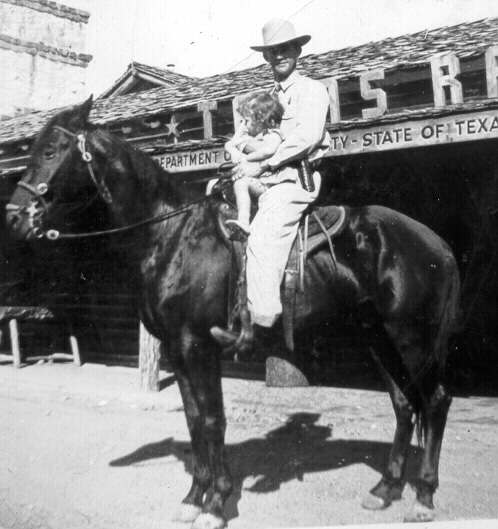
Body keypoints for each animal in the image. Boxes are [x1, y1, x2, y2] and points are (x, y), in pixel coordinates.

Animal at [5, 98, 462, 524]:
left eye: (51, 151)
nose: (14, 218)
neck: (171, 235)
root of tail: (436, 241)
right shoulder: (175, 349)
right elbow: (193, 419)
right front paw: (194, 496)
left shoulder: (198, 346)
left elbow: (213, 420)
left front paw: (217, 502)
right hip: (376, 336)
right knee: (403, 403)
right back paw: (387, 488)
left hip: (411, 338)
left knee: (435, 401)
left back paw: (423, 496)